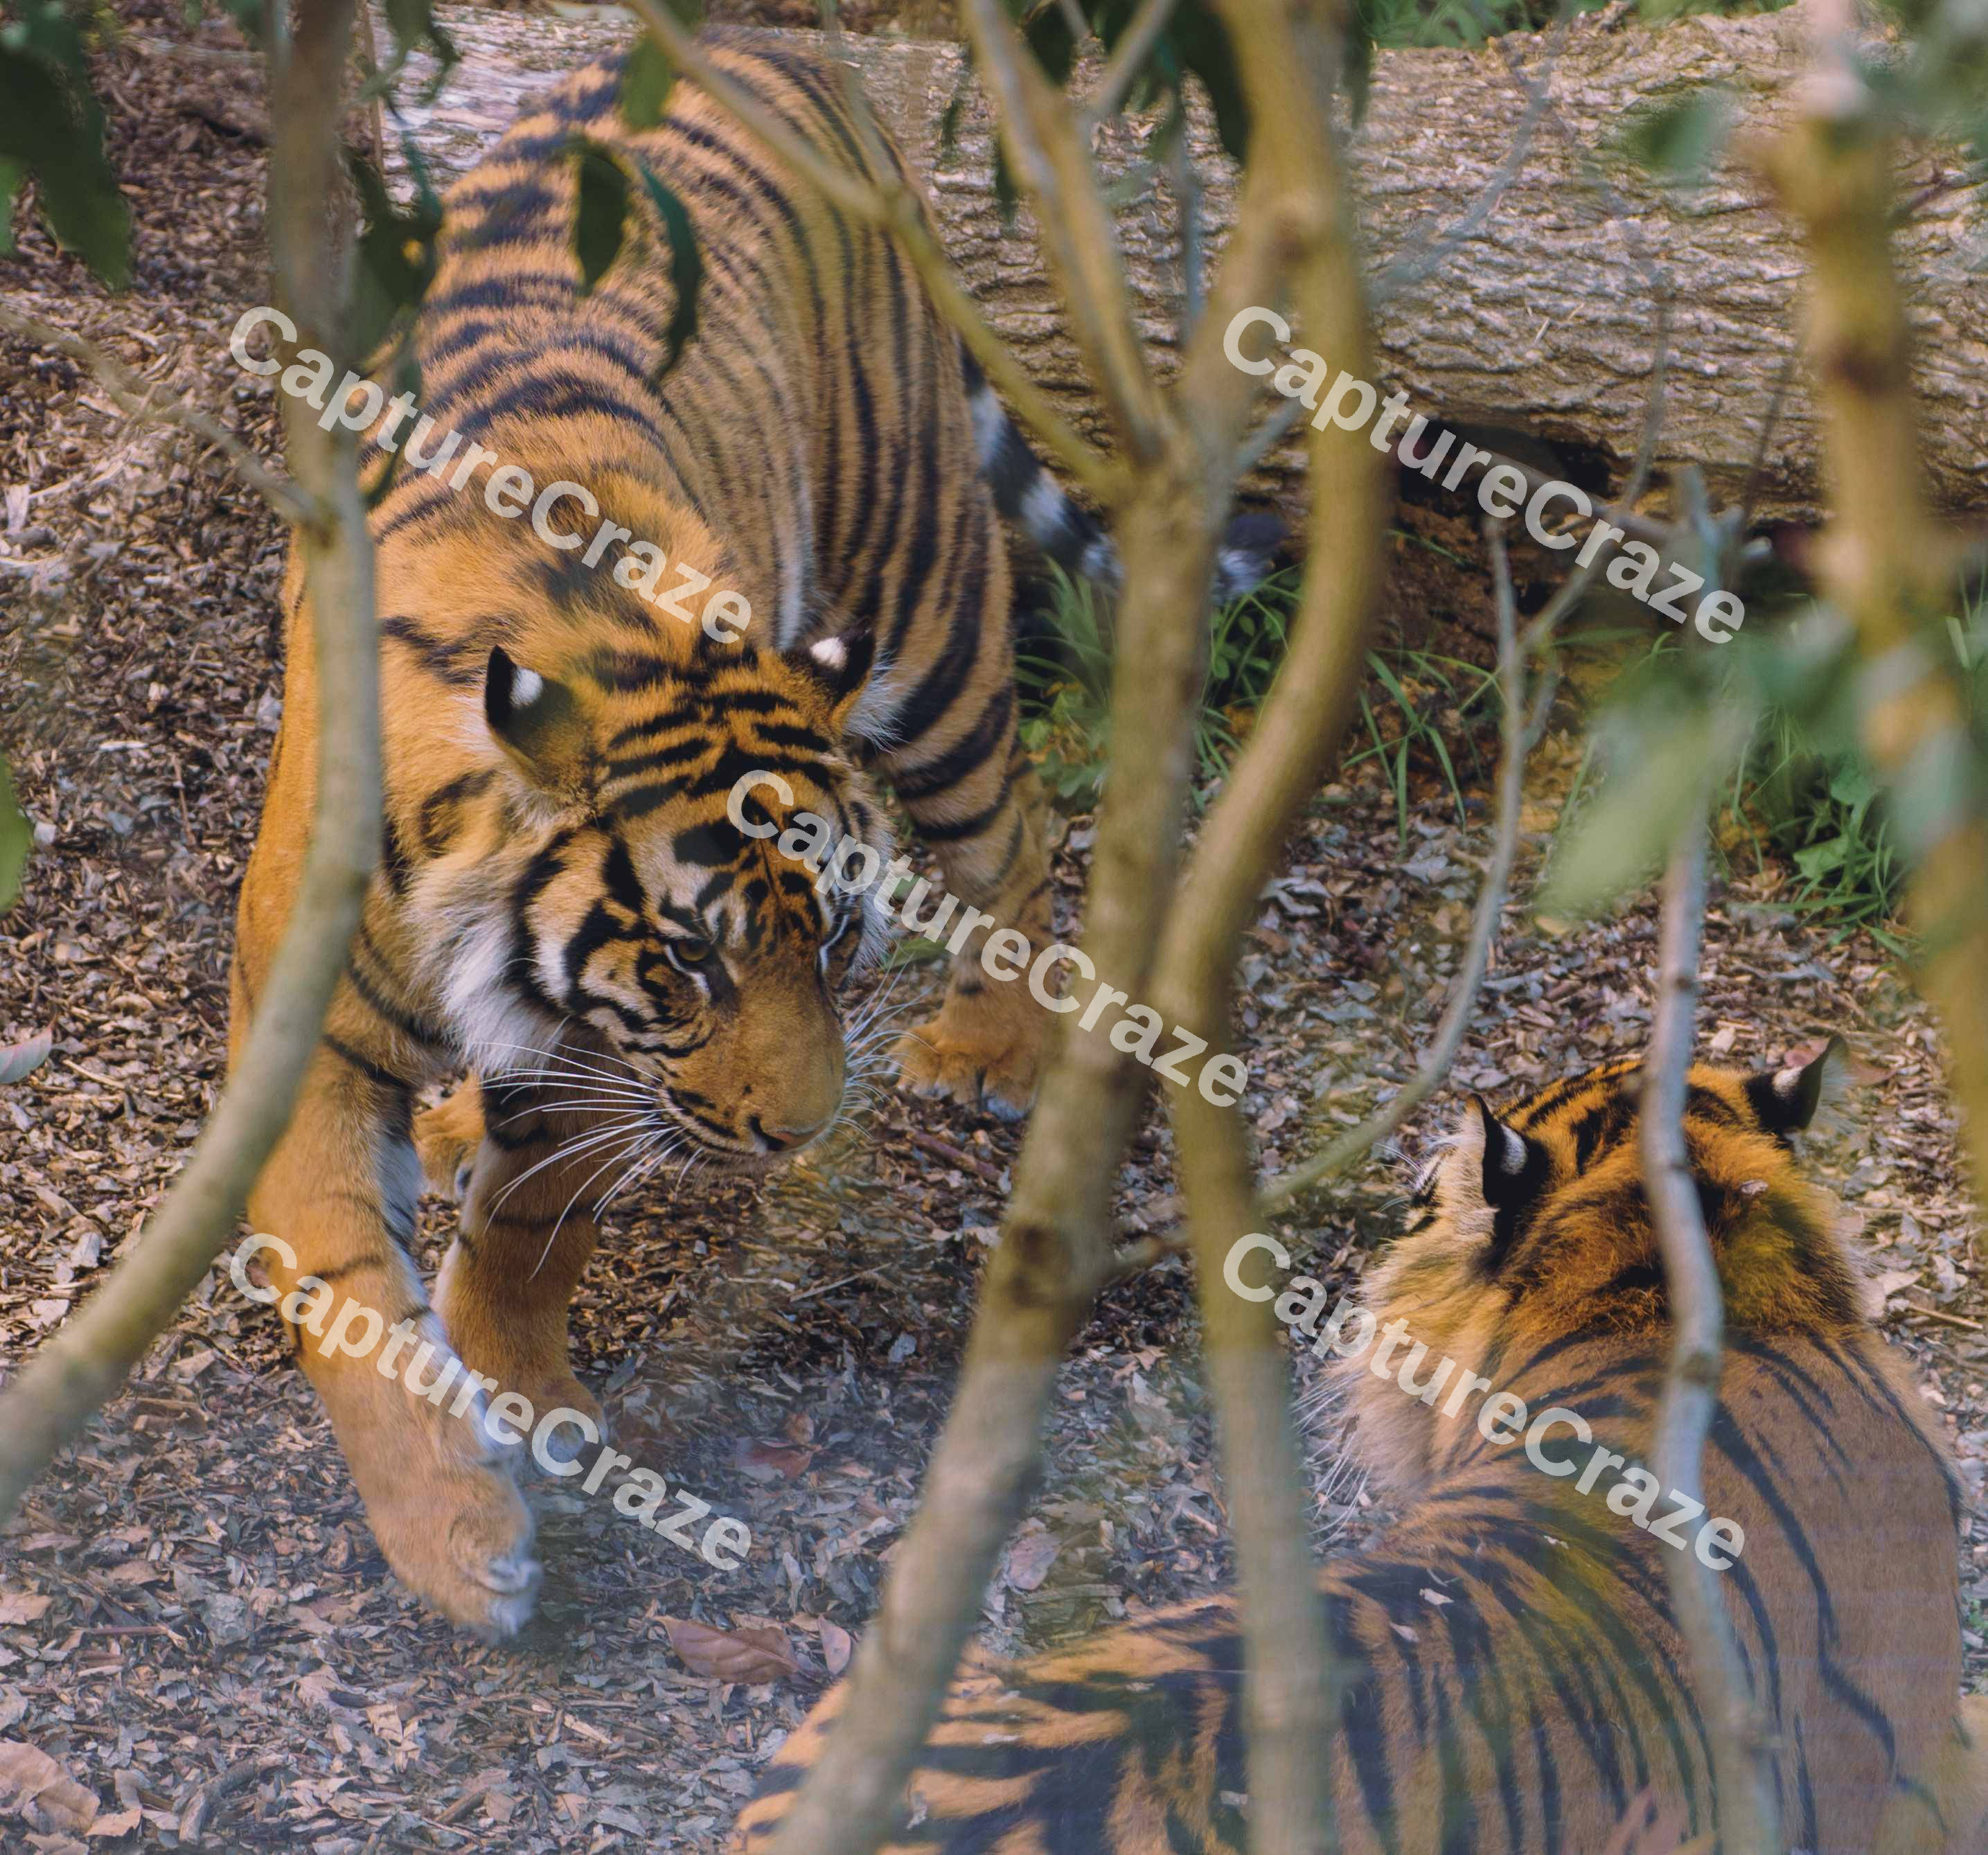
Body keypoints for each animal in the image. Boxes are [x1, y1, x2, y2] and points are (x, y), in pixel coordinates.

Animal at [228, 31, 1278, 1639]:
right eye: (687, 966)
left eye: (835, 940)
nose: (800, 1132)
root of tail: (762, 35)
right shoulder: (319, 1030)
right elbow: (349, 1287)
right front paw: (456, 1537)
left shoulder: (584, 1055)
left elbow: (536, 1222)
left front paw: (521, 1395)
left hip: (922, 612)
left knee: (1014, 826)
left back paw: (988, 1048)